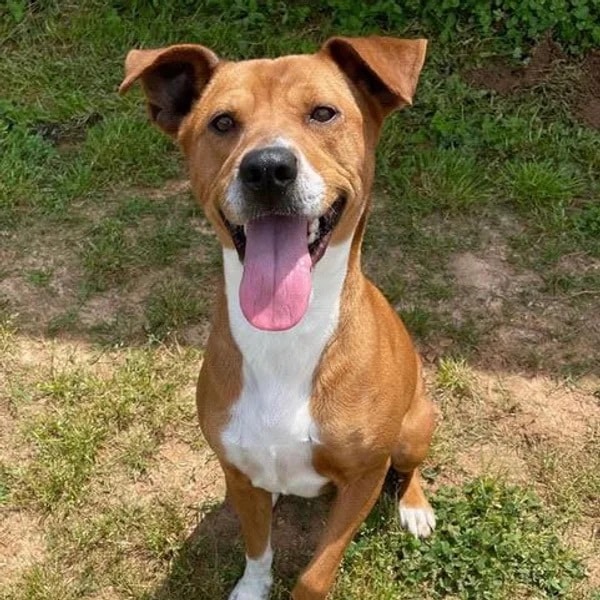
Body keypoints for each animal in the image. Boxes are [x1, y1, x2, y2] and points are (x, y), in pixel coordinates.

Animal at [120, 36, 436, 600]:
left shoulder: (363, 478)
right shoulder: (238, 472)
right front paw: (252, 587)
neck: (288, 339)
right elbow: (257, 550)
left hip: (415, 425)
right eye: (223, 122)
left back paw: (415, 506)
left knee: (411, 467)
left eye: (323, 112)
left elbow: (313, 574)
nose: (267, 168)